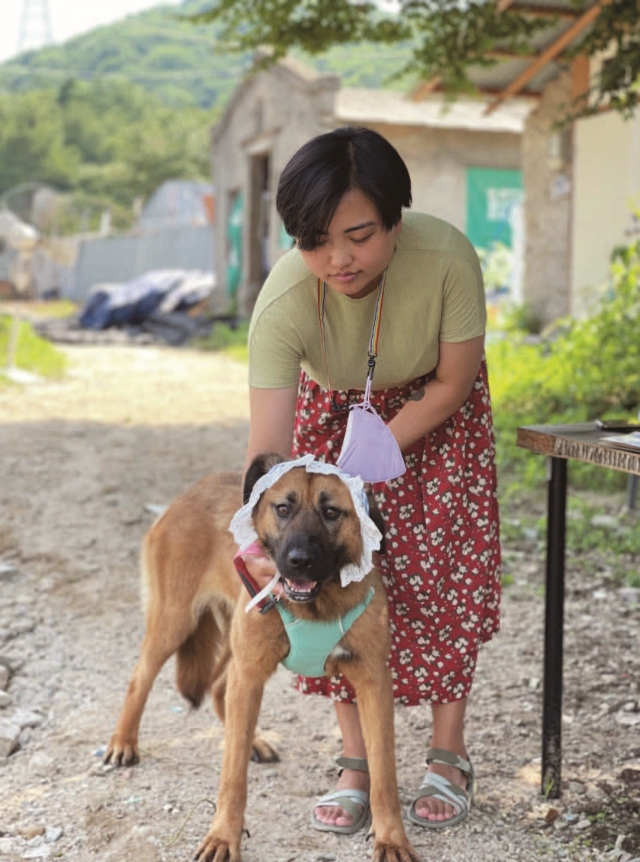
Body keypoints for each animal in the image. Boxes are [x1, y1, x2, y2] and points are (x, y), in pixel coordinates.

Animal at [105, 452, 420, 862]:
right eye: (283, 508)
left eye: (332, 512)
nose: (299, 560)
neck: (317, 605)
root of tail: (192, 491)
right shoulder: (251, 672)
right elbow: (232, 775)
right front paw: (223, 836)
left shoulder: (373, 682)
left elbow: (384, 775)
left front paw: (392, 839)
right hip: (175, 622)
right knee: (140, 678)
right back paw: (123, 743)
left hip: (232, 648)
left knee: (219, 689)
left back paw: (253, 741)